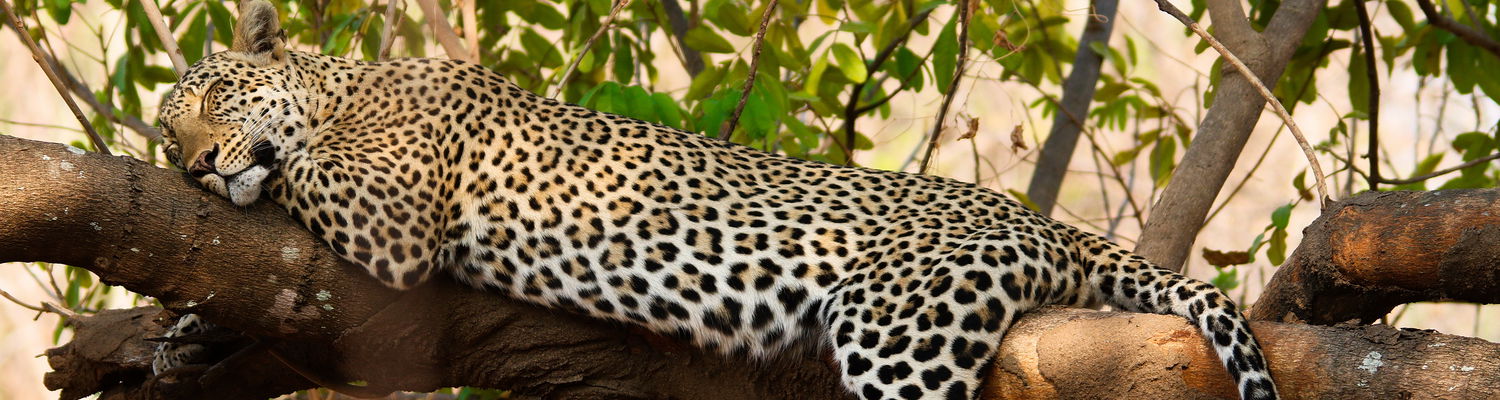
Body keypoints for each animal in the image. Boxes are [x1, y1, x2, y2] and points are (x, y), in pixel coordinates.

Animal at [152, 1, 1278, 399]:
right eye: (165, 139)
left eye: (207, 101)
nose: (194, 168)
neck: (344, 87)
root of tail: (1039, 219)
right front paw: (187, 334)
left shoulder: (389, 211)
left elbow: (294, 174)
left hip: (903, 329)